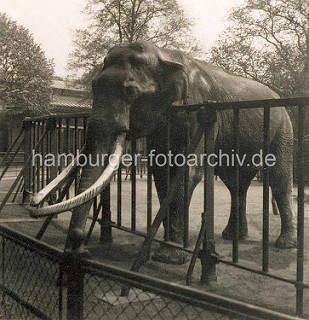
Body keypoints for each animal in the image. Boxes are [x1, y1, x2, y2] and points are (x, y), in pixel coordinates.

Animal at [31, 40, 296, 264]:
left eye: (130, 92)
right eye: (94, 86)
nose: (80, 249)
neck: (164, 55)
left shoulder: (197, 112)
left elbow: (187, 173)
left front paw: (169, 257)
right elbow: (161, 173)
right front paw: (168, 250)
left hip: (283, 127)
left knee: (278, 177)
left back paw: (284, 244)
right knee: (235, 182)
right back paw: (232, 236)